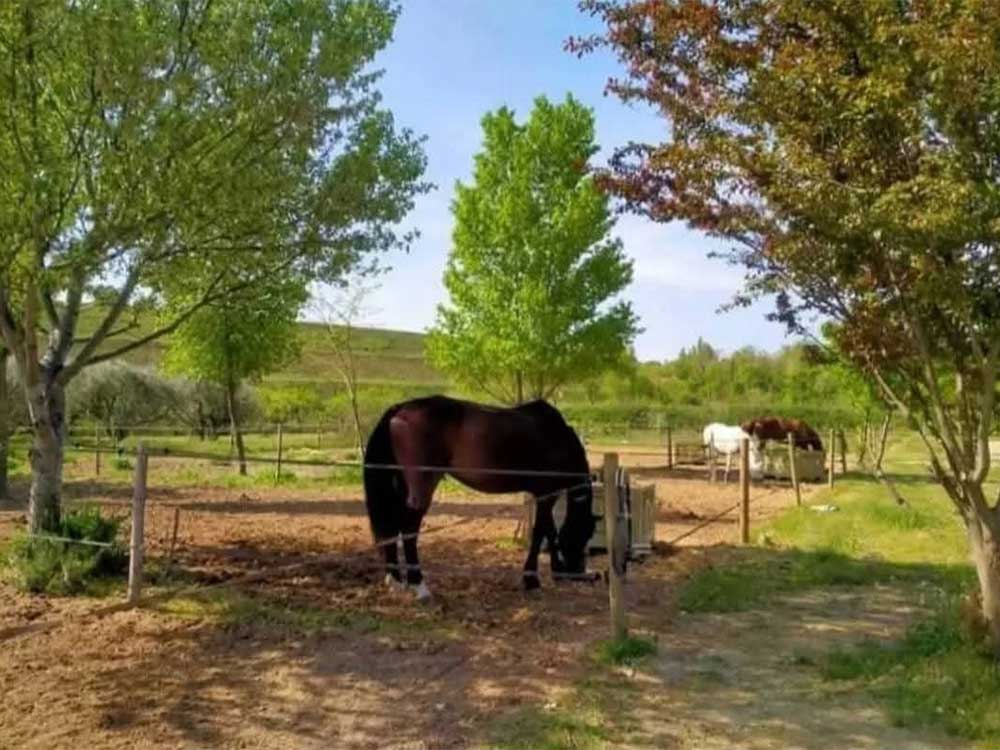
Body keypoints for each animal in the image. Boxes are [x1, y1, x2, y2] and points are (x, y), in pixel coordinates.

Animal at [363, 395, 596, 599]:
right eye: (585, 534)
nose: (577, 572)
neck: (557, 437)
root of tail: (401, 408)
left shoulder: (542, 495)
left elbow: (549, 530)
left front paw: (555, 570)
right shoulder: (546, 494)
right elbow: (541, 532)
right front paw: (532, 580)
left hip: (401, 486)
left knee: (393, 526)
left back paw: (395, 581)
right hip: (421, 489)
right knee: (409, 530)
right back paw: (419, 586)